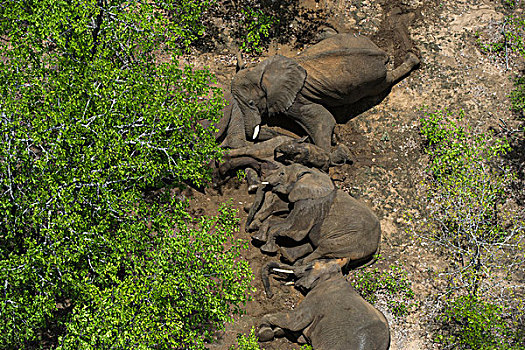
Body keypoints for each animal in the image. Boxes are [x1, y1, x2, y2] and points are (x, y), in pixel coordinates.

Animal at [215, 33, 420, 152]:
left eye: (251, 103)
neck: (262, 72)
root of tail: (381, 54)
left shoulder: (294, 100)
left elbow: (322, 119)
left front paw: (327, 150)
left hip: (374, 80)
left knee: (387, 81)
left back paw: (412, 59)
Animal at [248, 163, 378, 266]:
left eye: (282, 173)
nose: (247, 228)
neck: (310, 174)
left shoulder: (310, 205)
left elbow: (294, 232)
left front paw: (266, 248)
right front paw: (257, 237)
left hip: (351, 241)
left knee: (325, 247)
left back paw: (300, 263)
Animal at [258, 258, 388, 348]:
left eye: (309, 268)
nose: (270, 295)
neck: (334, 276)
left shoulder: (314, 301)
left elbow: (294, 322)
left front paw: (265, 333)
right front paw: (277, 331)